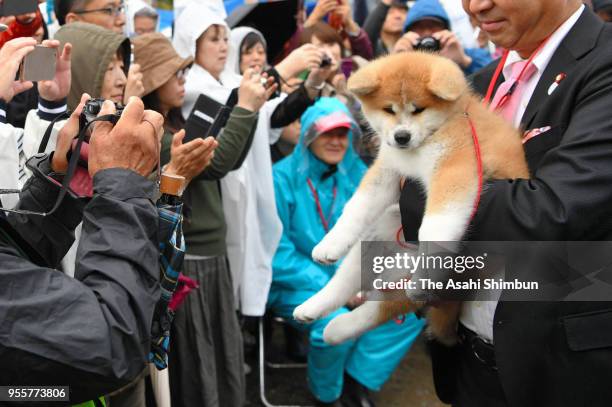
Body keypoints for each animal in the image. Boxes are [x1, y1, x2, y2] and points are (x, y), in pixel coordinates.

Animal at [294, 52, 528, 348]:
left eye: (419, 109)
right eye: (389, 110)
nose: (401, 137)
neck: (430, 138)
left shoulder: (455, 169)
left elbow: (434, 228)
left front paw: (425, 275)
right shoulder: (388, 171)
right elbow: (356, 208)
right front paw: (329, 243)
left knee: (385, 306)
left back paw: (336, 328)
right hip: (377, 236)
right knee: (348, 281)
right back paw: (315, 310)